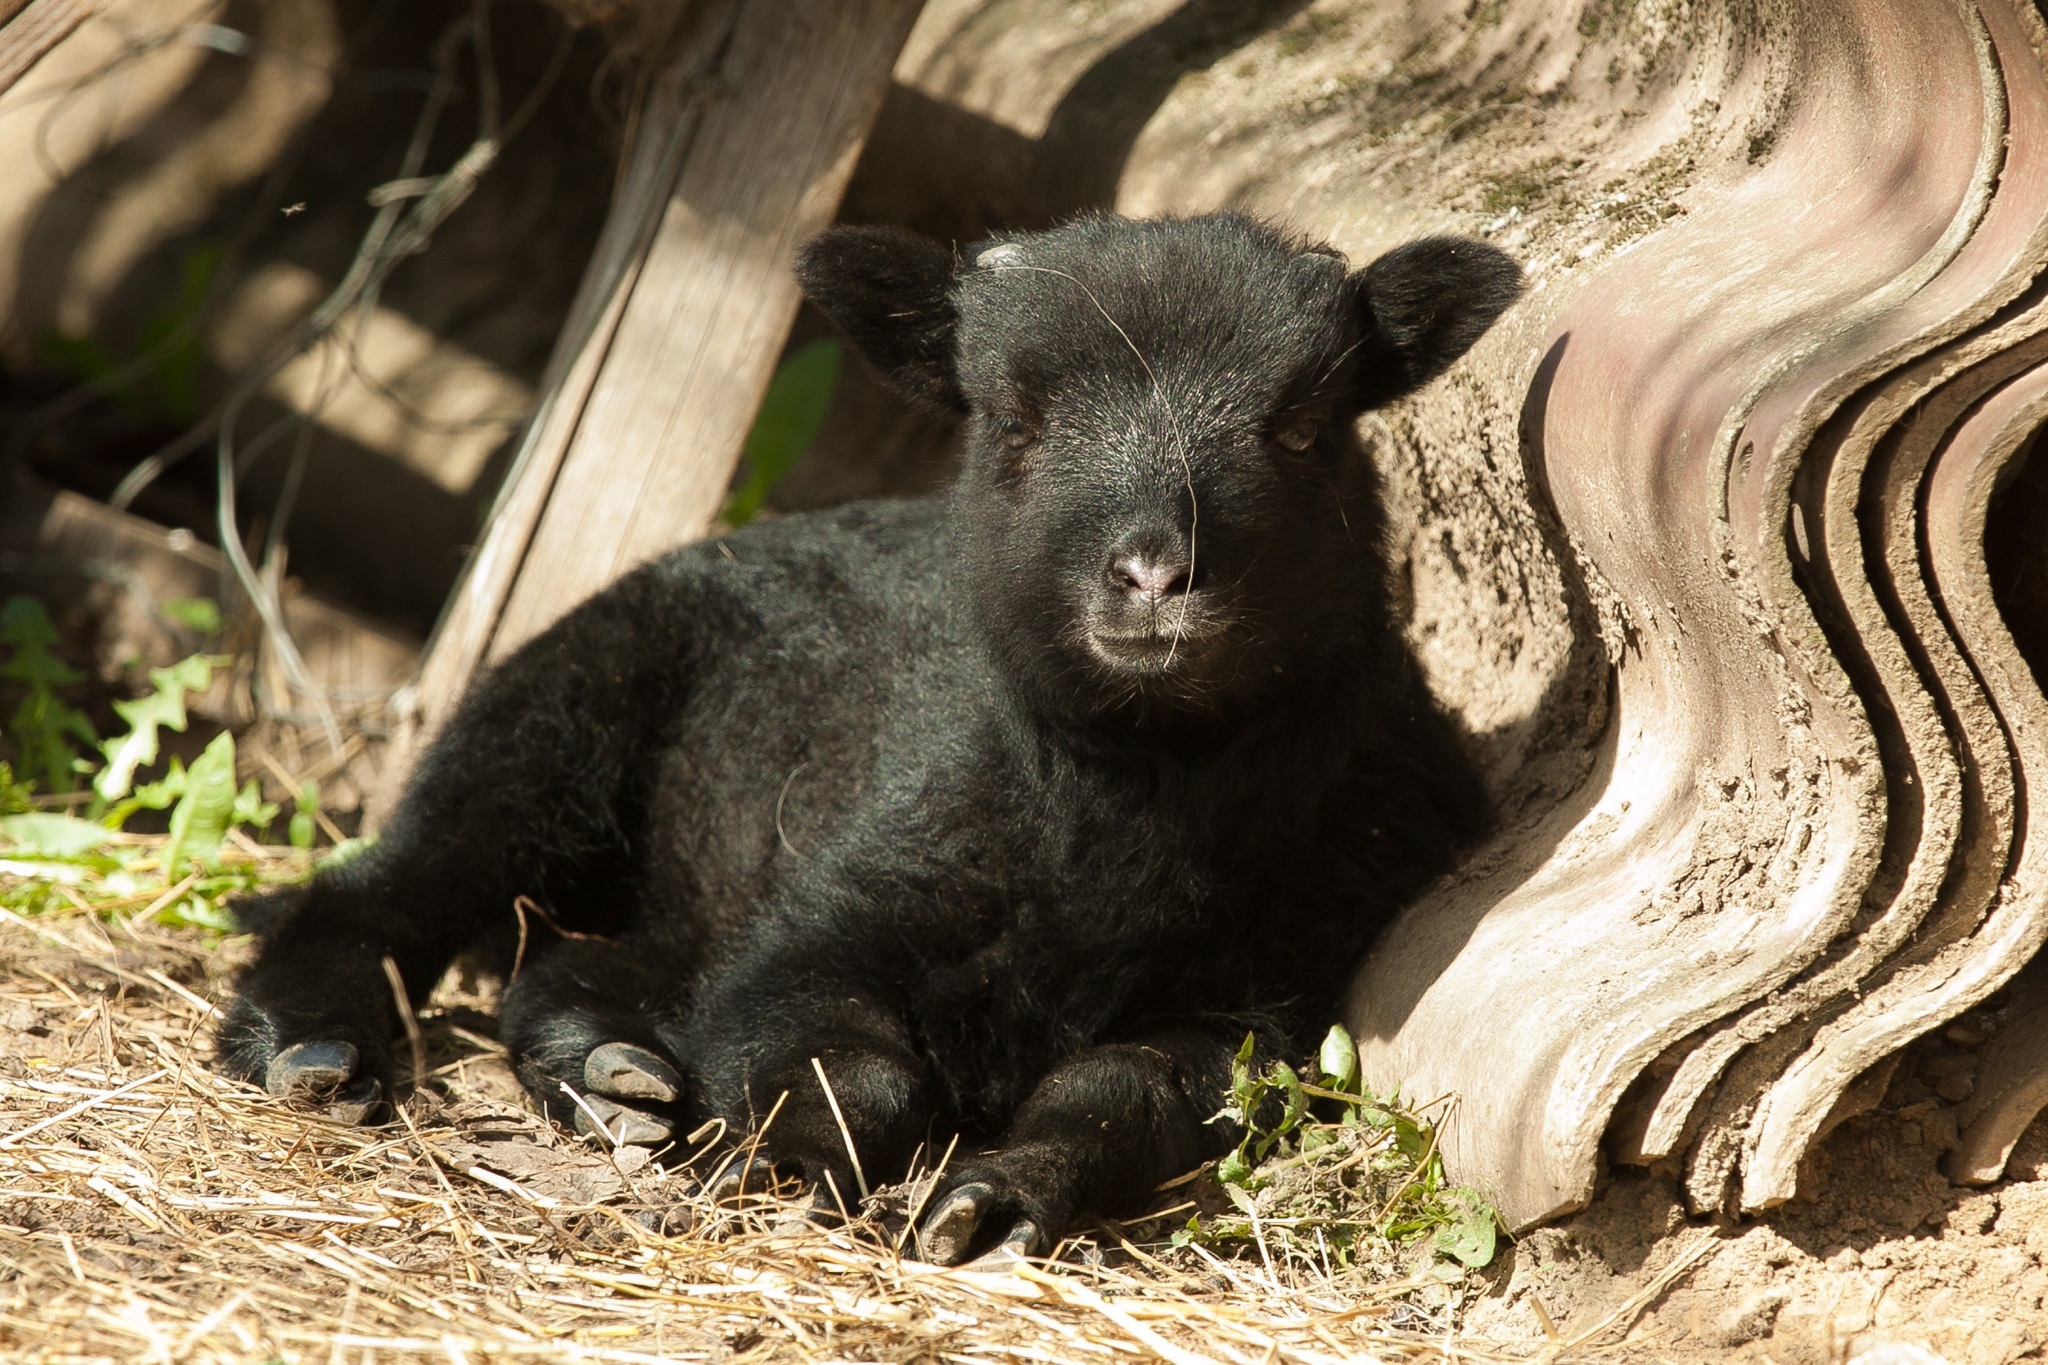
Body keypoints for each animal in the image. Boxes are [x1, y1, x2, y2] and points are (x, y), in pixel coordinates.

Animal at [216, 210, 1521, 1264]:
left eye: (1301, 429)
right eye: (1012, 421)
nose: (1156, 574)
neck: (1123, 809)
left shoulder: (1264, 1005)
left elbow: (1118, 1096)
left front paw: (995, 1202)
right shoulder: (831, 923)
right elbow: (860, 1072)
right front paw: (786, 1163)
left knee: (571, 966)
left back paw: (615, 1076)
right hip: (552, 713)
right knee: (392, 882)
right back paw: (315, 1044)